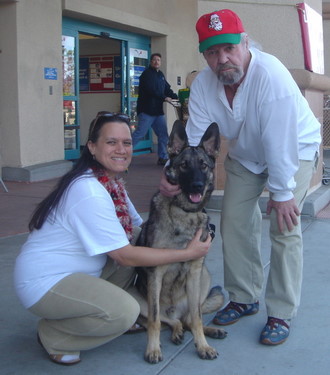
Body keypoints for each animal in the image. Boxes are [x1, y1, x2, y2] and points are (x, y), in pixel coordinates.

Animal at [130, 122, 228, 366]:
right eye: (184, 166)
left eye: (203, 165)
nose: (198, 185)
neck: (185, 213)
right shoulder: (155, 273)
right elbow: (155, 321)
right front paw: (153, 350)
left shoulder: (194, 272)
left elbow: (198, 318)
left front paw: (203, 346)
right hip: (138, 298)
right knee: (170, 320)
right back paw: (176, 332)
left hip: (204, 277)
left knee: (188, 319)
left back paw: (209, 331)